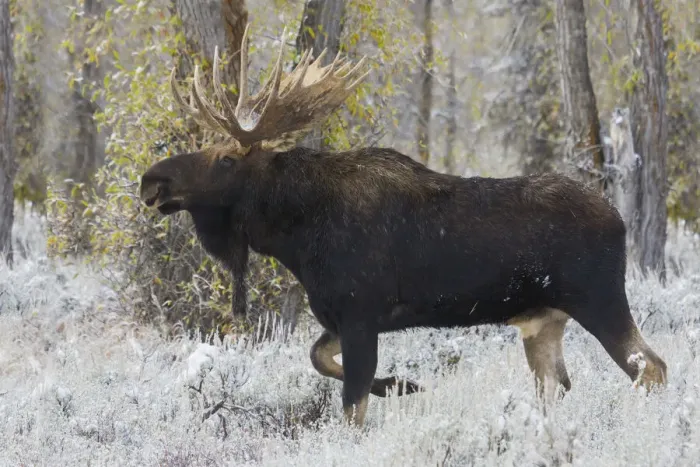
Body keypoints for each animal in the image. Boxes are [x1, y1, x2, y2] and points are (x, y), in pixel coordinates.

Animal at [139, 23, 667, 427]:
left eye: (226, 159)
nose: (152, 180)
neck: (296, 237)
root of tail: (619, 219)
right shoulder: (341, 318)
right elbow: (319, 359)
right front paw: (403, 384)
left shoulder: (359, 312)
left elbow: (351, 409)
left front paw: (393, 389)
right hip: (543, 321)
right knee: (558, 385)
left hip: (599, 298)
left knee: (651, 367)